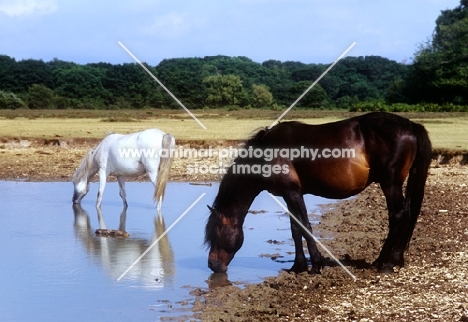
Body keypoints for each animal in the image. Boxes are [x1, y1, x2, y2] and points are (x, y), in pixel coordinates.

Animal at [205, 111, 432, 274]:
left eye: (215, 233)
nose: (212, 265)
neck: (267, 152)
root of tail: (411, 126)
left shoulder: (293, 193)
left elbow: (305, 226)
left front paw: (316, 265)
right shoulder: (289, 195)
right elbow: (295, 229)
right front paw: (298, 266)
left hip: (390, 184)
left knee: (398, 217)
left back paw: (386, 264)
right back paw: (392, 260)